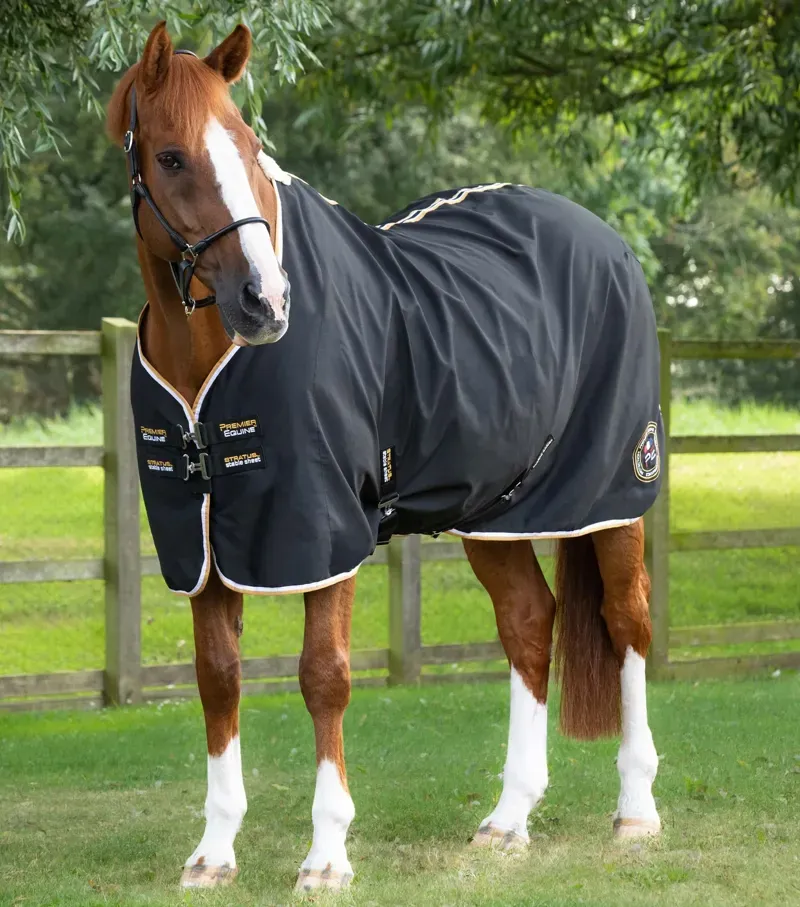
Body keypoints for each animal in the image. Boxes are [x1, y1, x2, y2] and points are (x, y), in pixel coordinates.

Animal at [107, 21, 662, 893]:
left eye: (249, 145)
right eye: (170, 156)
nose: (266, 300)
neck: (208, 367)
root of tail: (607, 241)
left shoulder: (322, 529)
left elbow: (323, 675)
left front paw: (327, 855)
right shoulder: (201, 543)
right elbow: (217, 676)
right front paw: (214, 852)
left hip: (613, 493)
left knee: (627, 619)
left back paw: (637, 811)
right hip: (495, 510)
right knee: (528, 622)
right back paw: (508, 818)